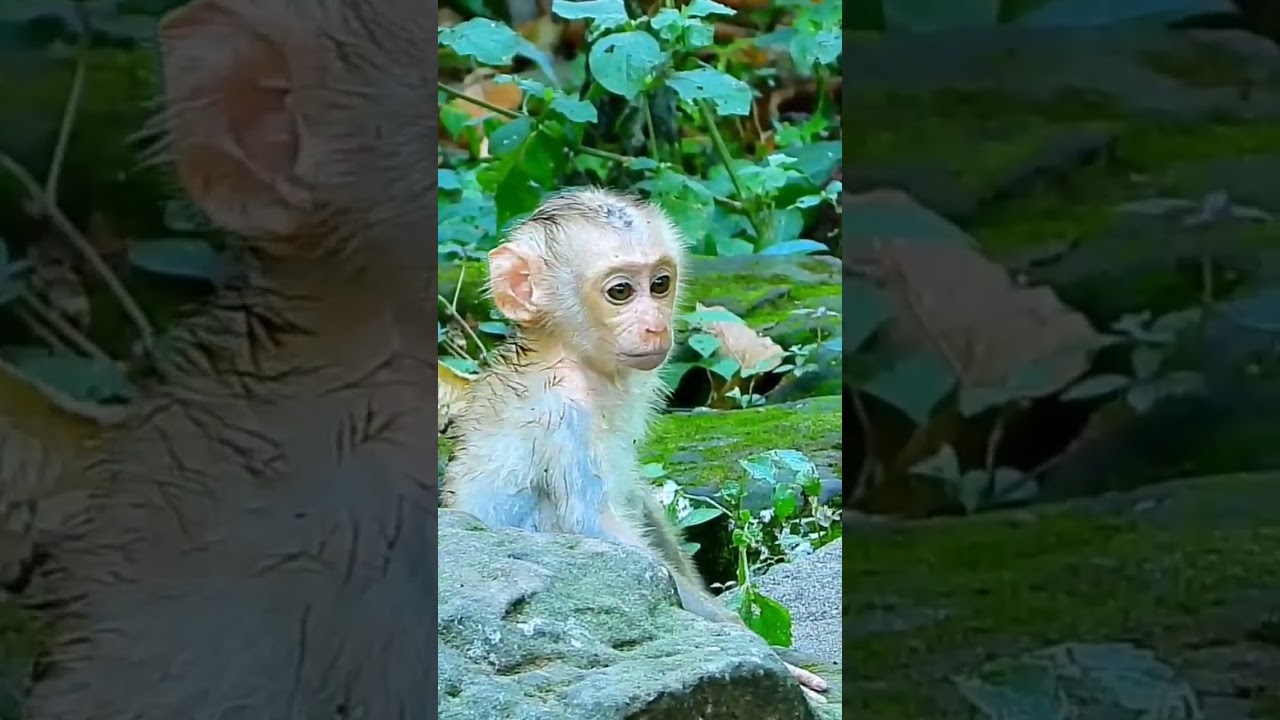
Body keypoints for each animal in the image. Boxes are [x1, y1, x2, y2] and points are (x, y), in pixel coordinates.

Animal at [441, 187, 829, 701]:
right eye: (621, 292)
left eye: (660, 284)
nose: (654, 325)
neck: (568, 354)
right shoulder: (562, 413)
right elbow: (592, 528)